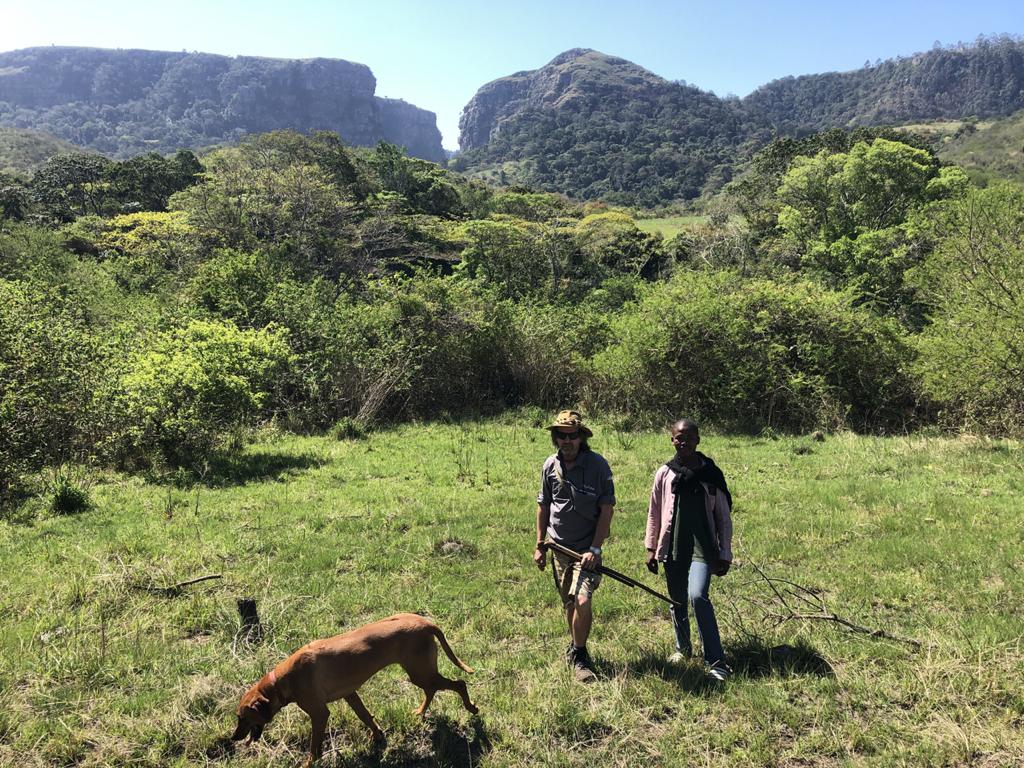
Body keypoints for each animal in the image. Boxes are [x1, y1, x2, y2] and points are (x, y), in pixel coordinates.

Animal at [230, 614, 477, 765]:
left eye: (242, 717)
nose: (234, 738)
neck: (282, 680)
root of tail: (426, 623)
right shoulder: (350, 694)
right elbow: (365, 716)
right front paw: (377, 736)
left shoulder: (319, 714)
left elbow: (314, 746)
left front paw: (309, 763)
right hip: (421, 673)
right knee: (432, 690)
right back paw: (421, 711)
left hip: (420, 673)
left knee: (459, 683)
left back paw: (471, 708)